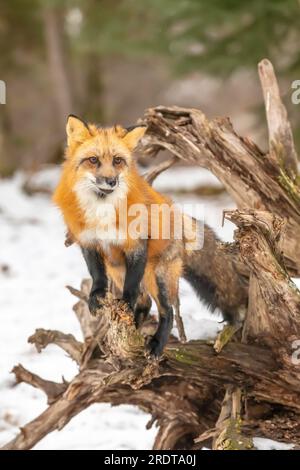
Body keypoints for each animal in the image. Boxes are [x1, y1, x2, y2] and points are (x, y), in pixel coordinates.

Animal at [54, 115, 248, 358]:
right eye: (93, 160)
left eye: (117, 160)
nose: (111, 181)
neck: (102, 211)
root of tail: (177, 213)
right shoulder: (89, 242)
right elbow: (97, 275)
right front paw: (96, 297)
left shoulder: (136, 245)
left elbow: (131, 290)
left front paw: (126, 305)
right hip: (119, 270)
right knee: (145, 304)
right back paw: (134, 332)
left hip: (158, 277)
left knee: (167, 311)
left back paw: (156, 345)